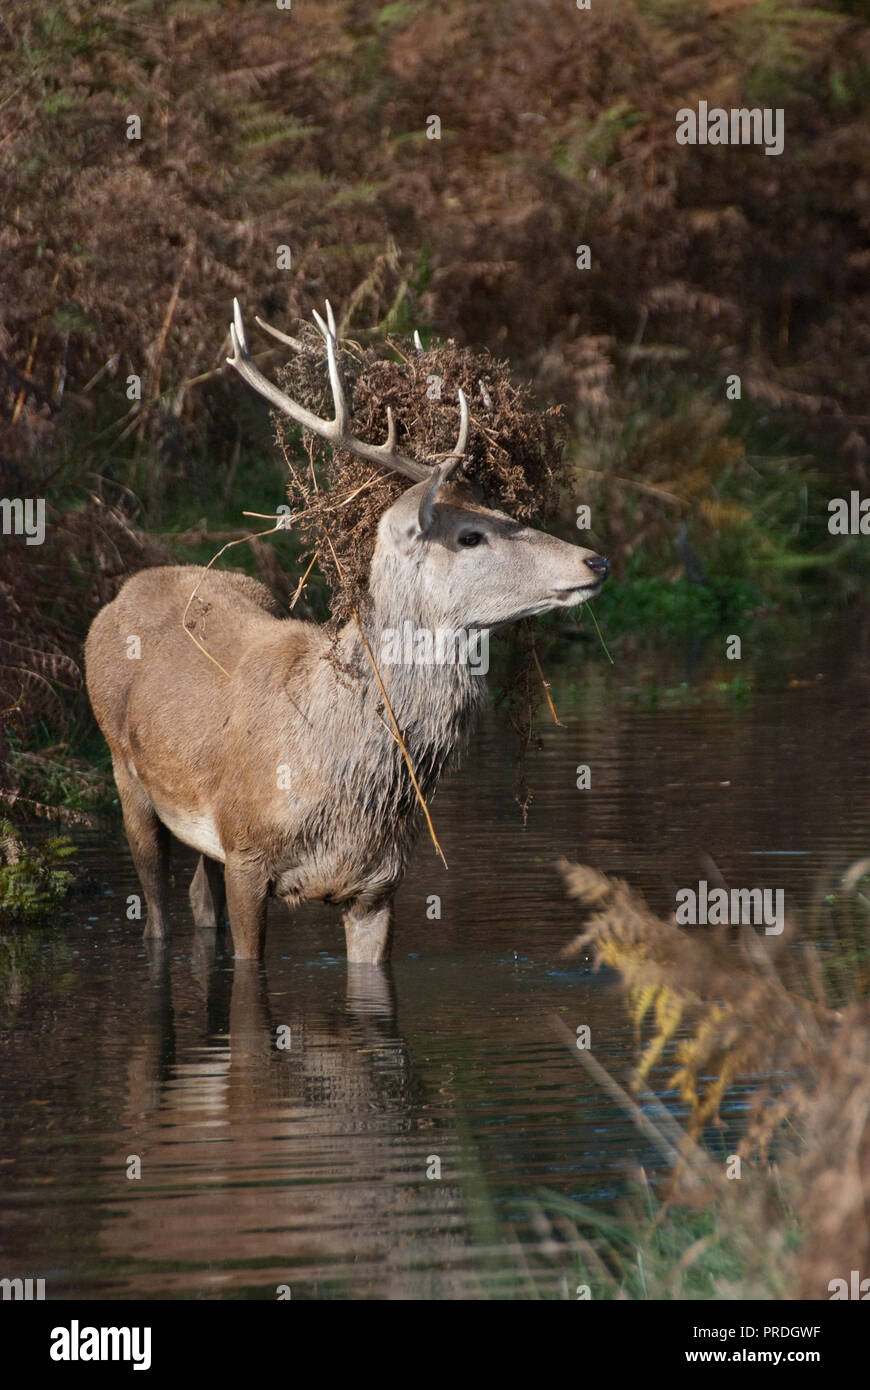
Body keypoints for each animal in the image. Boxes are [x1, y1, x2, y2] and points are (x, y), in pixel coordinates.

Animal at [84, 300, 609, 965]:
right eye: (471, 535)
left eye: (505, 513)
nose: (596, 561)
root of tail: (127, 589)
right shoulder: (248, 850)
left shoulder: (378, 883)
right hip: (123, 767)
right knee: (156, 910)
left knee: (200, 902)